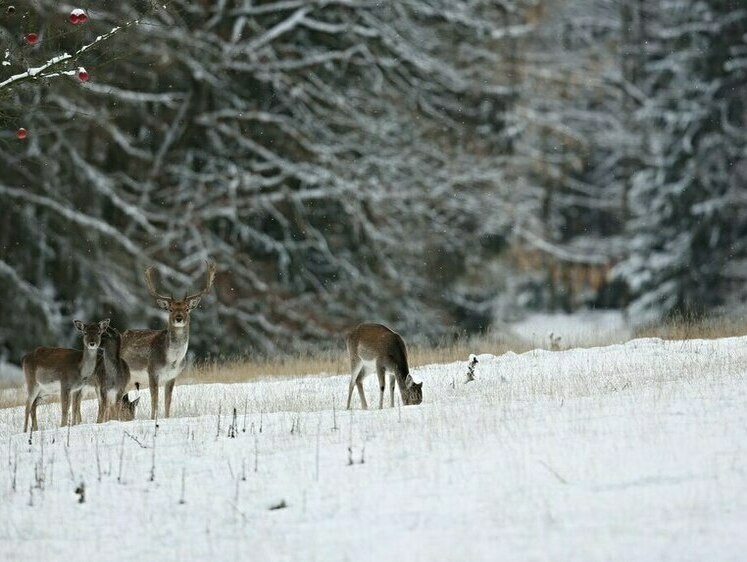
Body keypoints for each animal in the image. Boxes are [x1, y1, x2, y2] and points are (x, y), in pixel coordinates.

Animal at [121, 260, 216, 418]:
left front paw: (166, 418)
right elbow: (154, 402)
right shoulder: (152, 371)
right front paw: (153, 419)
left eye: (187, 308)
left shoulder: (172, 376)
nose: (179, 318)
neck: (172, 360)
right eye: (170, 309)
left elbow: (167, 402)